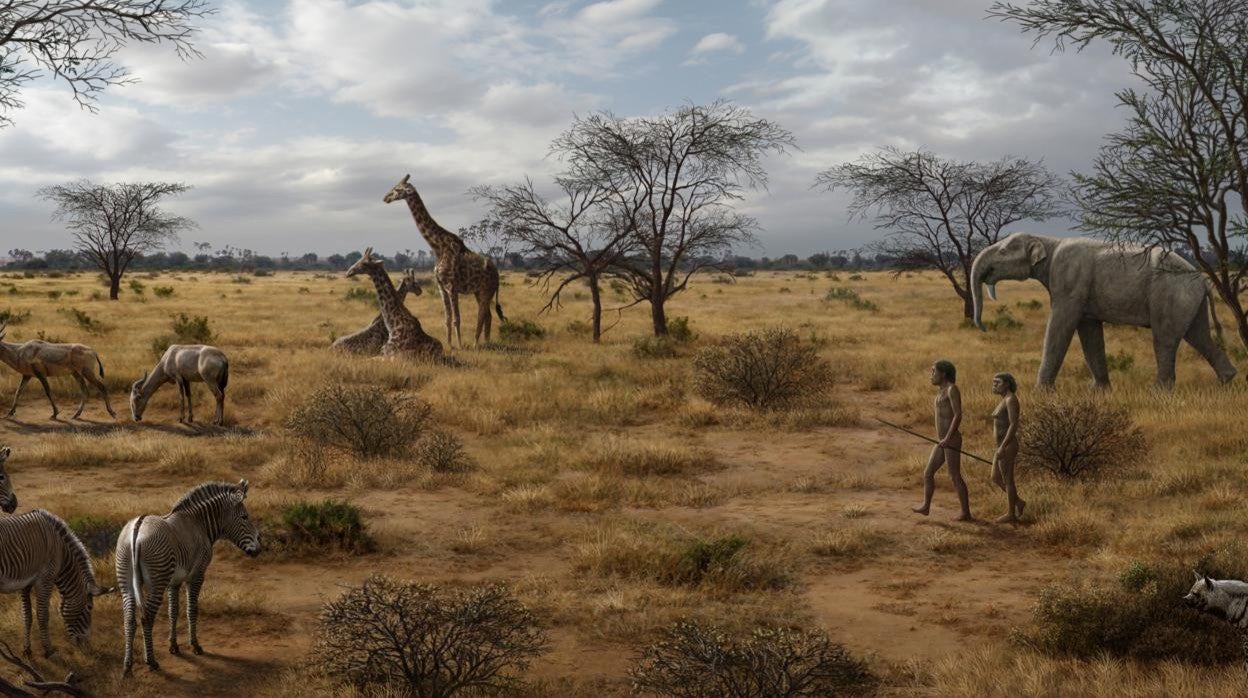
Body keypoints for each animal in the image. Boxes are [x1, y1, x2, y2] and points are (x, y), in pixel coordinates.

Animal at [0, 511, 113, 659]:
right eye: (90, 607)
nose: (86, 644)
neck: (61, 551)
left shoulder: (26, 583)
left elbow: (27, 616)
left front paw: (27, 650)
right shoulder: (45, 579)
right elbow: (42, 616)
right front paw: (48, 650)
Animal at [117, 479, 262, 679]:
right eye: (244, 517)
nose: (259, 549)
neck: (199, 524)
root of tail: (136, 531)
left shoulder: (174, 581)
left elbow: (173, 611)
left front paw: (174, 646)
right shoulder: (197, 575)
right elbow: (192, 609)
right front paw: (195, 646)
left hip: (127, 582)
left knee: (129, 620)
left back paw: (127, 667)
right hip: (157, 582)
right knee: (146, 619)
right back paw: (152, 662)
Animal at [379, 174, 501, 349]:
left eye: (397, 189)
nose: (385, 198)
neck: (438, 247)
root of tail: (497, 275)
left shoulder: (451, 286)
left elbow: (457, 319)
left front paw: (460, 346)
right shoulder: (441, 287)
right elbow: (447, 318)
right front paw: (449, 345)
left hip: (486, 290)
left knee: (482, 315)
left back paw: (475, 344)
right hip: (479, 291)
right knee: (488, 315)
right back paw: (486, 342)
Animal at [968, 233, 1233, 387]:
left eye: (1003, 251)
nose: (984, 328)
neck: (1047, 241)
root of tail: (1203, 282)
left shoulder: (1070, 280)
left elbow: (1061, 325)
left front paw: (1041, 392)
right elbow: (1089, 331)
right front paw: (1099, 391)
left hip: (1171, 294)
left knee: (1165, 339)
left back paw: (1159, 391)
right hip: (1187, 300)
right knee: (1198, 336)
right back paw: (1227, 382)